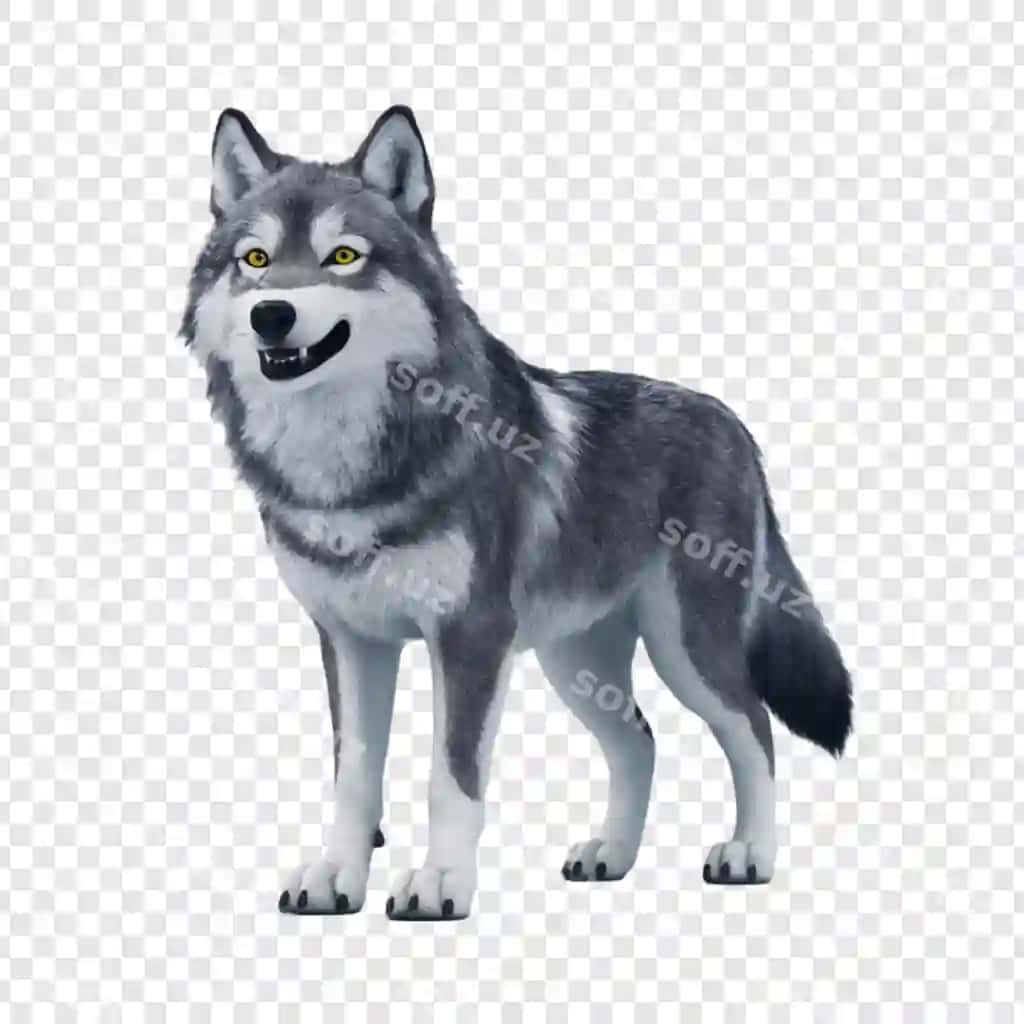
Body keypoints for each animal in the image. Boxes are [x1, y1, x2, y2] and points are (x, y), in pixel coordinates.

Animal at [181, 106, 852, 920]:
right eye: (254, 259)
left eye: (343, 256)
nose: (271, 315)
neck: (346, 472)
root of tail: (735, 424)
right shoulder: (350, 639)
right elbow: (355, 778)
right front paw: (336, 878)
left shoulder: (469, 636)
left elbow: (450, 779)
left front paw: (440, 884)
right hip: (577, 664)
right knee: (641, 742)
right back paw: (610, 856)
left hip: (683, 649)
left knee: (753, 728)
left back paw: (749, 854)